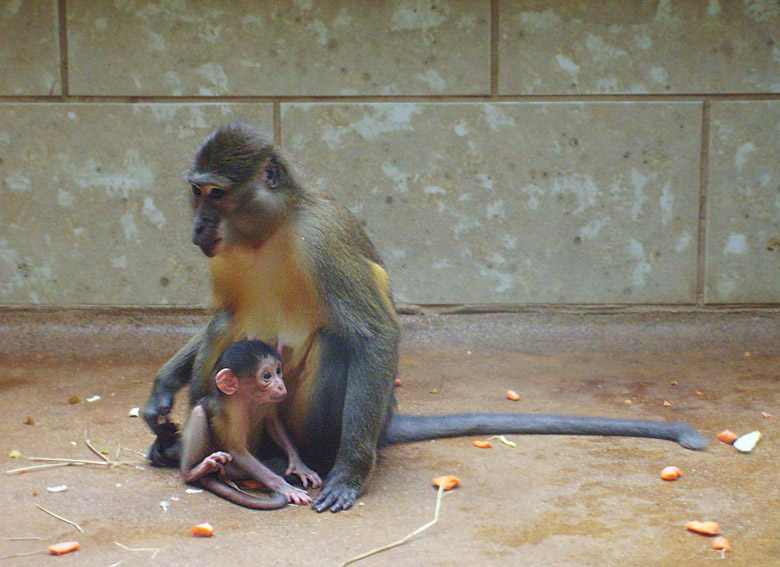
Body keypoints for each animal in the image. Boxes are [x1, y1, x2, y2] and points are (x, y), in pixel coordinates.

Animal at [180, 340, 320, 508]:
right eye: (267, 375)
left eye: (278, 370)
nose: (281, 385)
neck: (249, 398)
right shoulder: (232, 411)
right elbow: (237, 451)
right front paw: (284, 486)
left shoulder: (268, 401)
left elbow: (272, 421)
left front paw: (298, 465)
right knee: (198, 412)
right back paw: (193, 471)